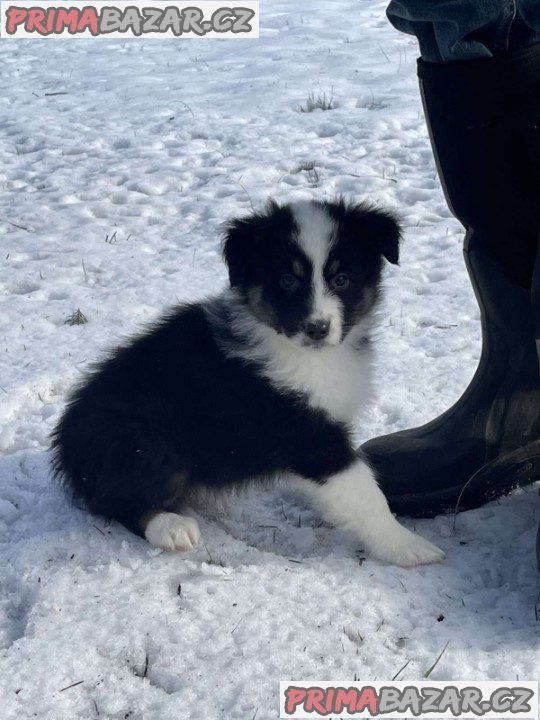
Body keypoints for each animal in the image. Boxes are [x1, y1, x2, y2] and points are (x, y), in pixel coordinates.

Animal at [52, 198, 446, 568]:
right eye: (287, 280)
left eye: (341, 279)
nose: (317, 329)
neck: (308, 355)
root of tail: (66, 444)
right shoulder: (307, 434)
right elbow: (363, 490)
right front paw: (407, 546)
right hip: (145, 436)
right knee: (121, 500)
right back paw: (170, 527)